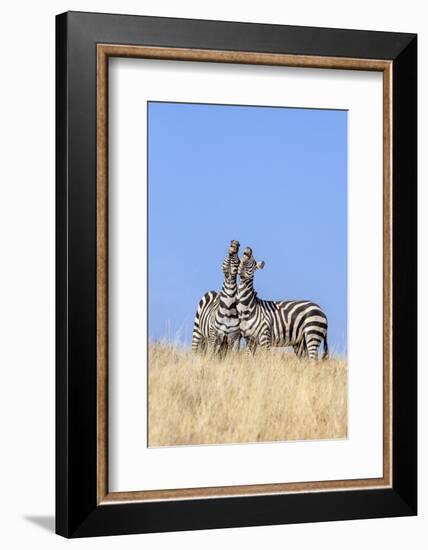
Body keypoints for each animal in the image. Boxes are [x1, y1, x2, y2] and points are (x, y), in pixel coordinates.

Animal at [192, 242, 330, 362]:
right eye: (242, 259)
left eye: (252, 262)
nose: (248, 249)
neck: (247, 308)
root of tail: (320, 309)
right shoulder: (249, 339)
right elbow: (248, 359)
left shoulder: (265, 337)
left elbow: (265, 359)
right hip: (300, 341)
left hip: (312, 333)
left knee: (313, 361)